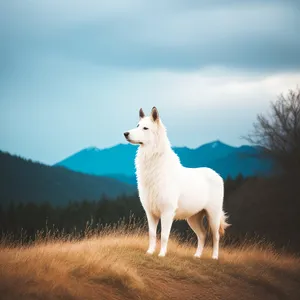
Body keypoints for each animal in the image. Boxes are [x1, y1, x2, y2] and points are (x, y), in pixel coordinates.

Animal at [123, 107, 230, 258]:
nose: (125, 133)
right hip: (193, 217)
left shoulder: (167, 212)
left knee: (215, 236)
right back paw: (197, 256)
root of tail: (218, 175)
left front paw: (161, 255)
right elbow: (152, 235)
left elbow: (164, 236)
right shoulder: (150, 213)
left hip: (213, 215)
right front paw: (149, 252)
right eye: (137, 125)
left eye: (145, 128)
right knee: (202, 235)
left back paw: (214, 257)